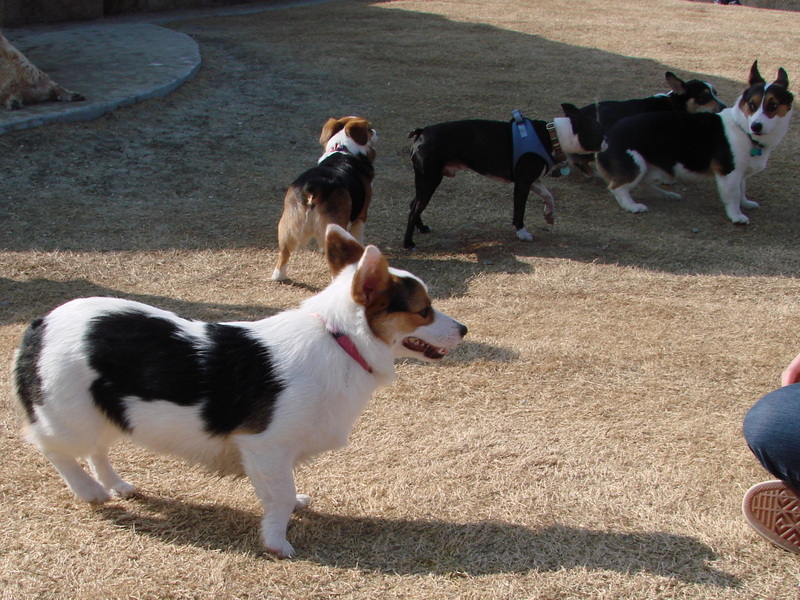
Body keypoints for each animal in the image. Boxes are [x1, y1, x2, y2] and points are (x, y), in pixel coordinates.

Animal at [12, 225, 466, 556]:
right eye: (424, 310)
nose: (464, 329)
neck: (340, 340)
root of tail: (41, 324)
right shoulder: (266, 445)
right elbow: (279, 496)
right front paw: (278, 543)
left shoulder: (269, 455)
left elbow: (278, 492)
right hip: (67, 416)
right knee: (53, 449)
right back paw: (90, 491)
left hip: (103, 410)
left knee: (98, 448)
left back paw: (116, 485)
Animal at [272, 116, 378, 282]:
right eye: (369, 129)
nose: (376, 132)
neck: (342, 148)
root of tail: (313, 187)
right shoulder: (361, 215)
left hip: (288, 224)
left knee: (284, 252)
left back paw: (279, 276)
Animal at [404, 104, 604, 250]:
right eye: (600, 133)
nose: (607, 141)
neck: (553, 135)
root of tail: (422, 132)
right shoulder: (523, 182)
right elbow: (519, 210)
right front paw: (522, 233)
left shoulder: (533, 180)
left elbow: (549, 195)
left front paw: (549, 215)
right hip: (429, 178)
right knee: (415, 208)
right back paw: (408, 243)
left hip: (426, 179)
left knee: (413, 203)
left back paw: (422, 228)